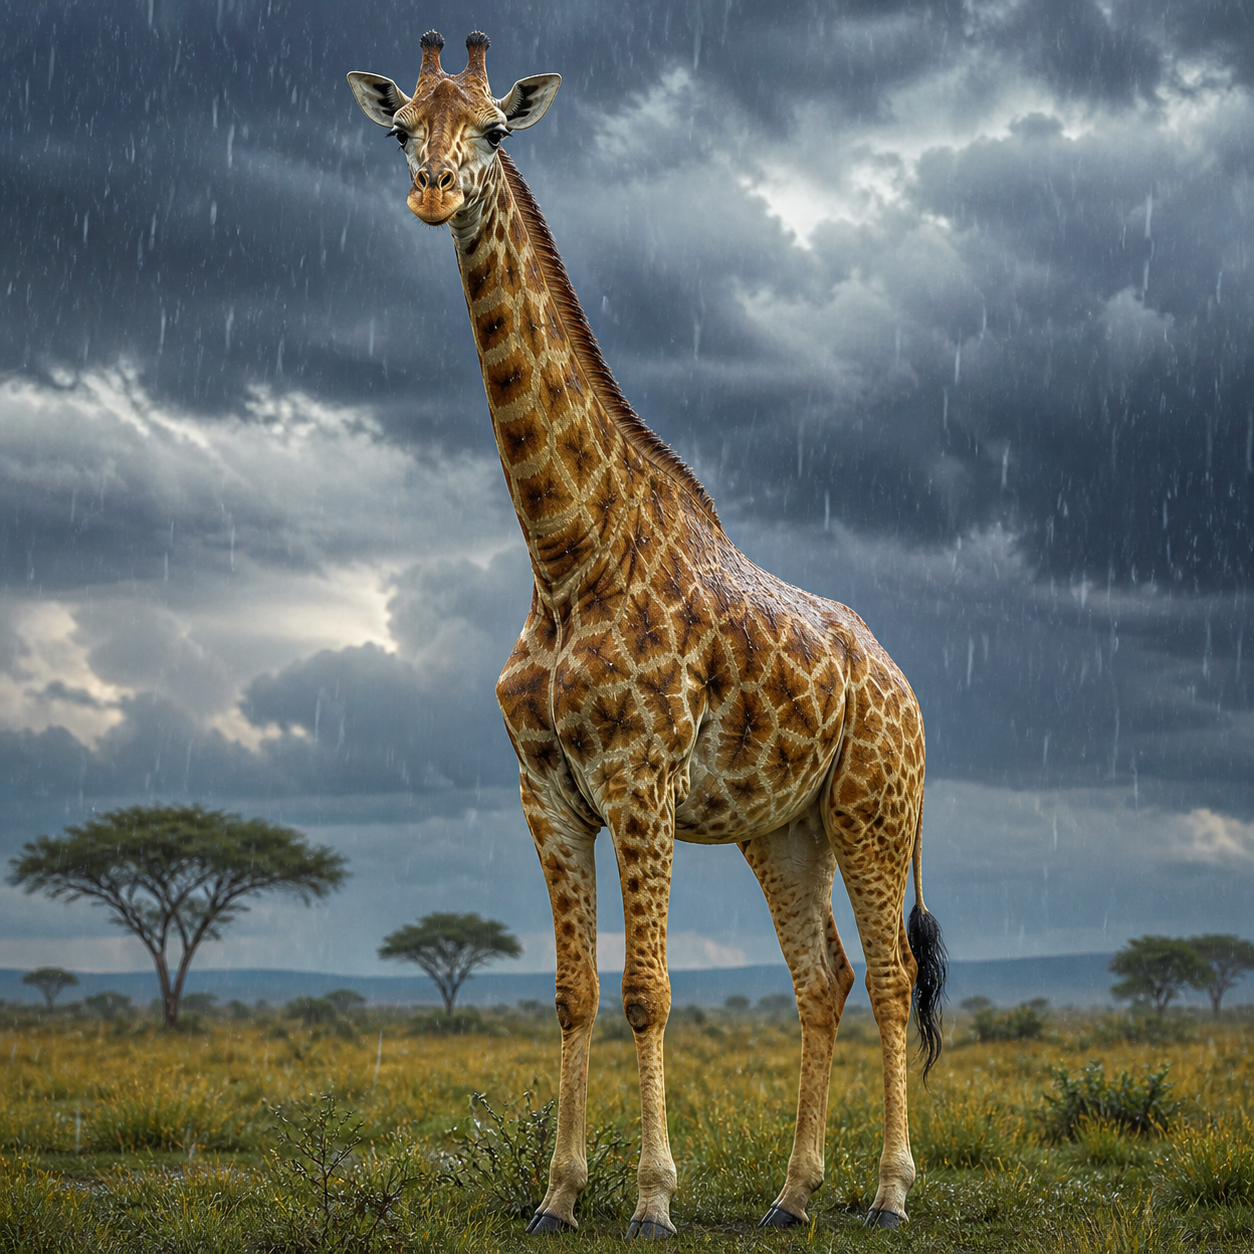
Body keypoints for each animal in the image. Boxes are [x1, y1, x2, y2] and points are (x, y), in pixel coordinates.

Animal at [348, 31, 946, 1239]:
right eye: (400, 130)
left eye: (494, 130)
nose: (433, 191)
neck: (567, 559)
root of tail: (906, 687)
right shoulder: (545, 792)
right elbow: (575, 994)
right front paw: (557, 1196)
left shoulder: (640, 780)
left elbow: (647, 993)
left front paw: (652, 1201)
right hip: (785, 827)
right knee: (823, 978)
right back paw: (792, 1196)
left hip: (874, 807)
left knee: (891, 977)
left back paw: (889, 1192)